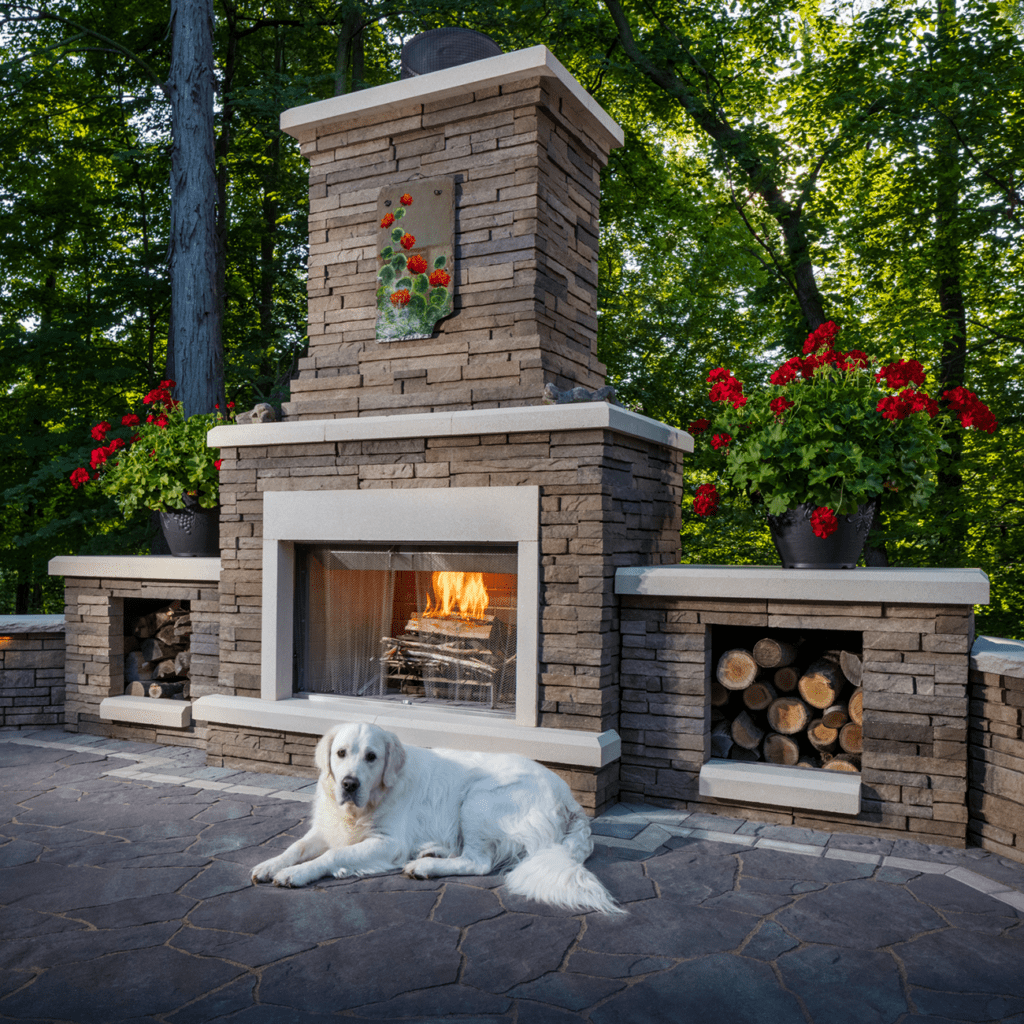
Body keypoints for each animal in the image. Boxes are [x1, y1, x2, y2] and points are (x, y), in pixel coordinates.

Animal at [253, 724, 622, 917]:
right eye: (340, 753)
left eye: (372, 757)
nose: (349, 784)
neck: (363, 807)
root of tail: (569, 798)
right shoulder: (325, 829)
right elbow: (296, 848)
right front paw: (270, 865)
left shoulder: (388, 843)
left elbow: (334, 855)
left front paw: (296, 874)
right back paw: (432, 853)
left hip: (478, 800)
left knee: (478, 862)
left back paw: (425, 866)